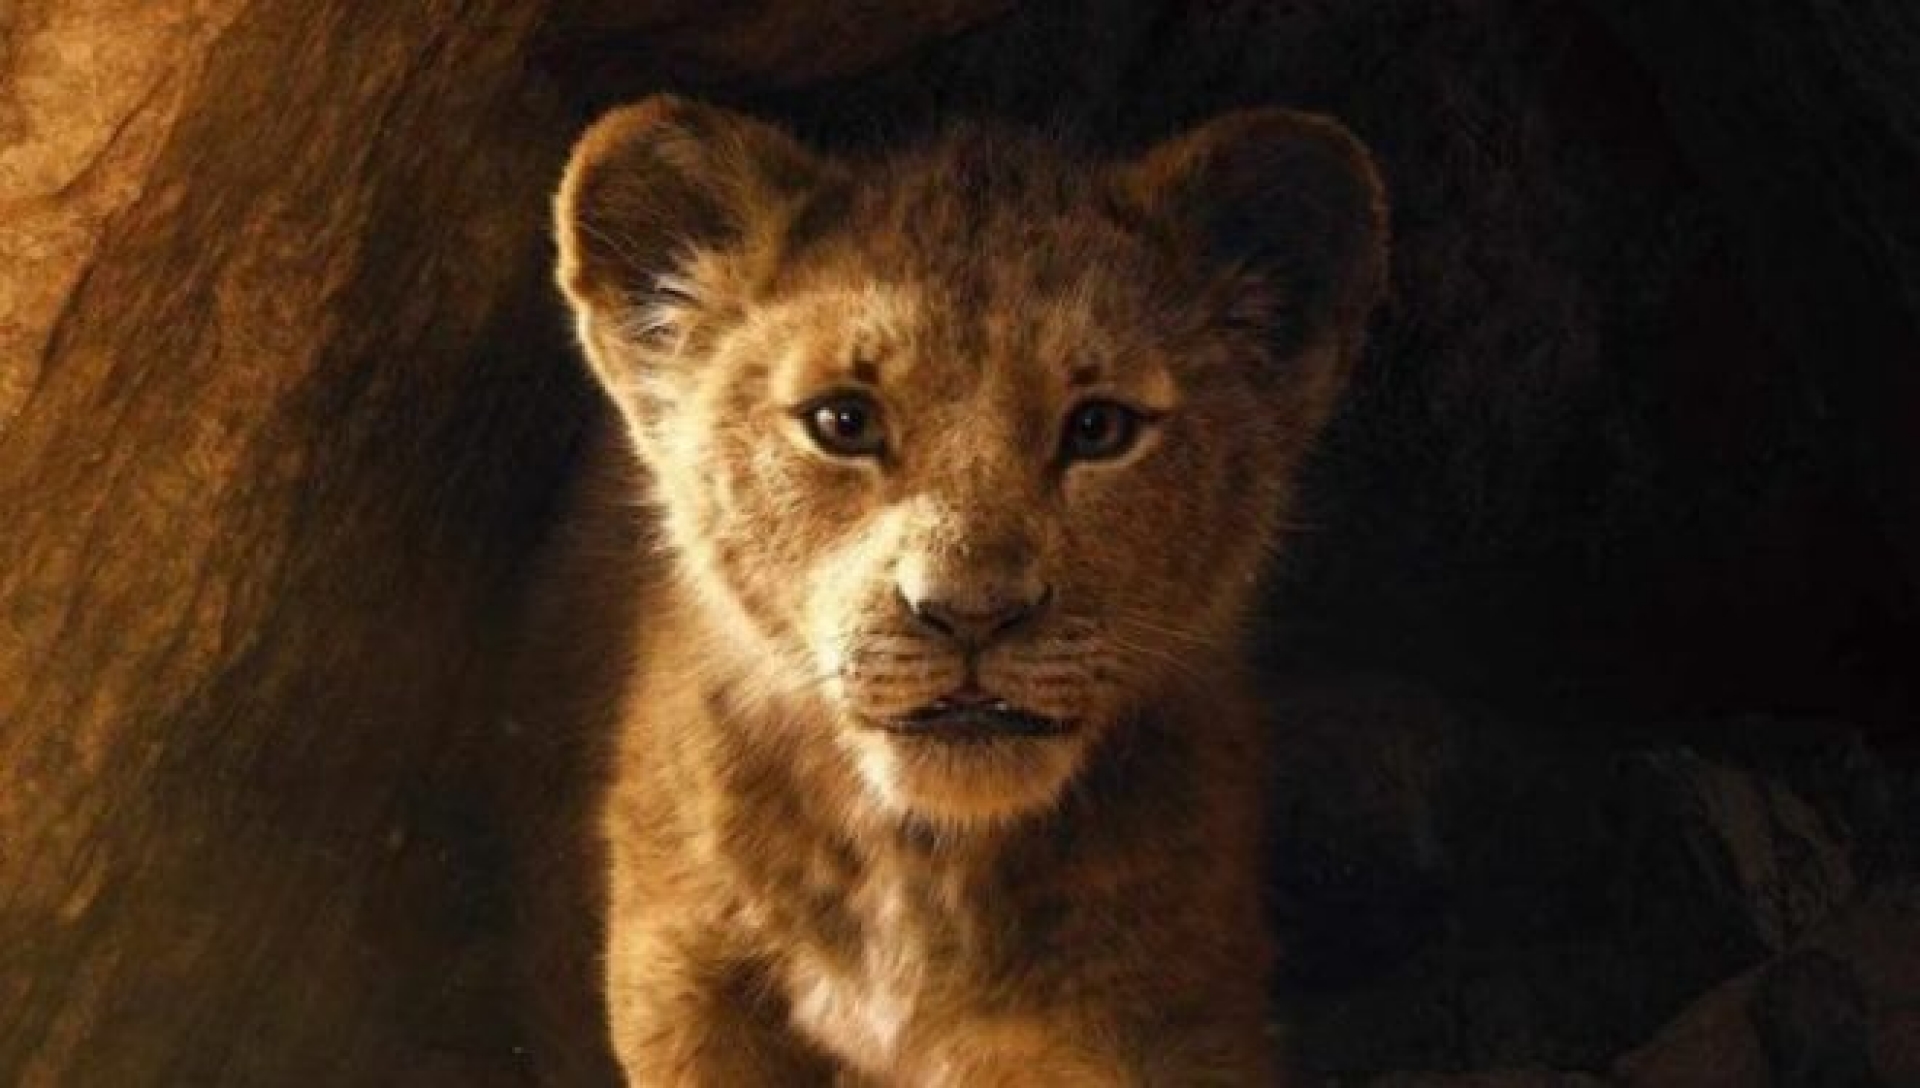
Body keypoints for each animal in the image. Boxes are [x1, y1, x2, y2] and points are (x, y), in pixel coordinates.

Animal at [552, 94, 1387, 1085]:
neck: (919, 868)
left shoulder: (1169, 1012)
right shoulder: (681, 971)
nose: (971, 613)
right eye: (843, 421)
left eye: (1100, 429)